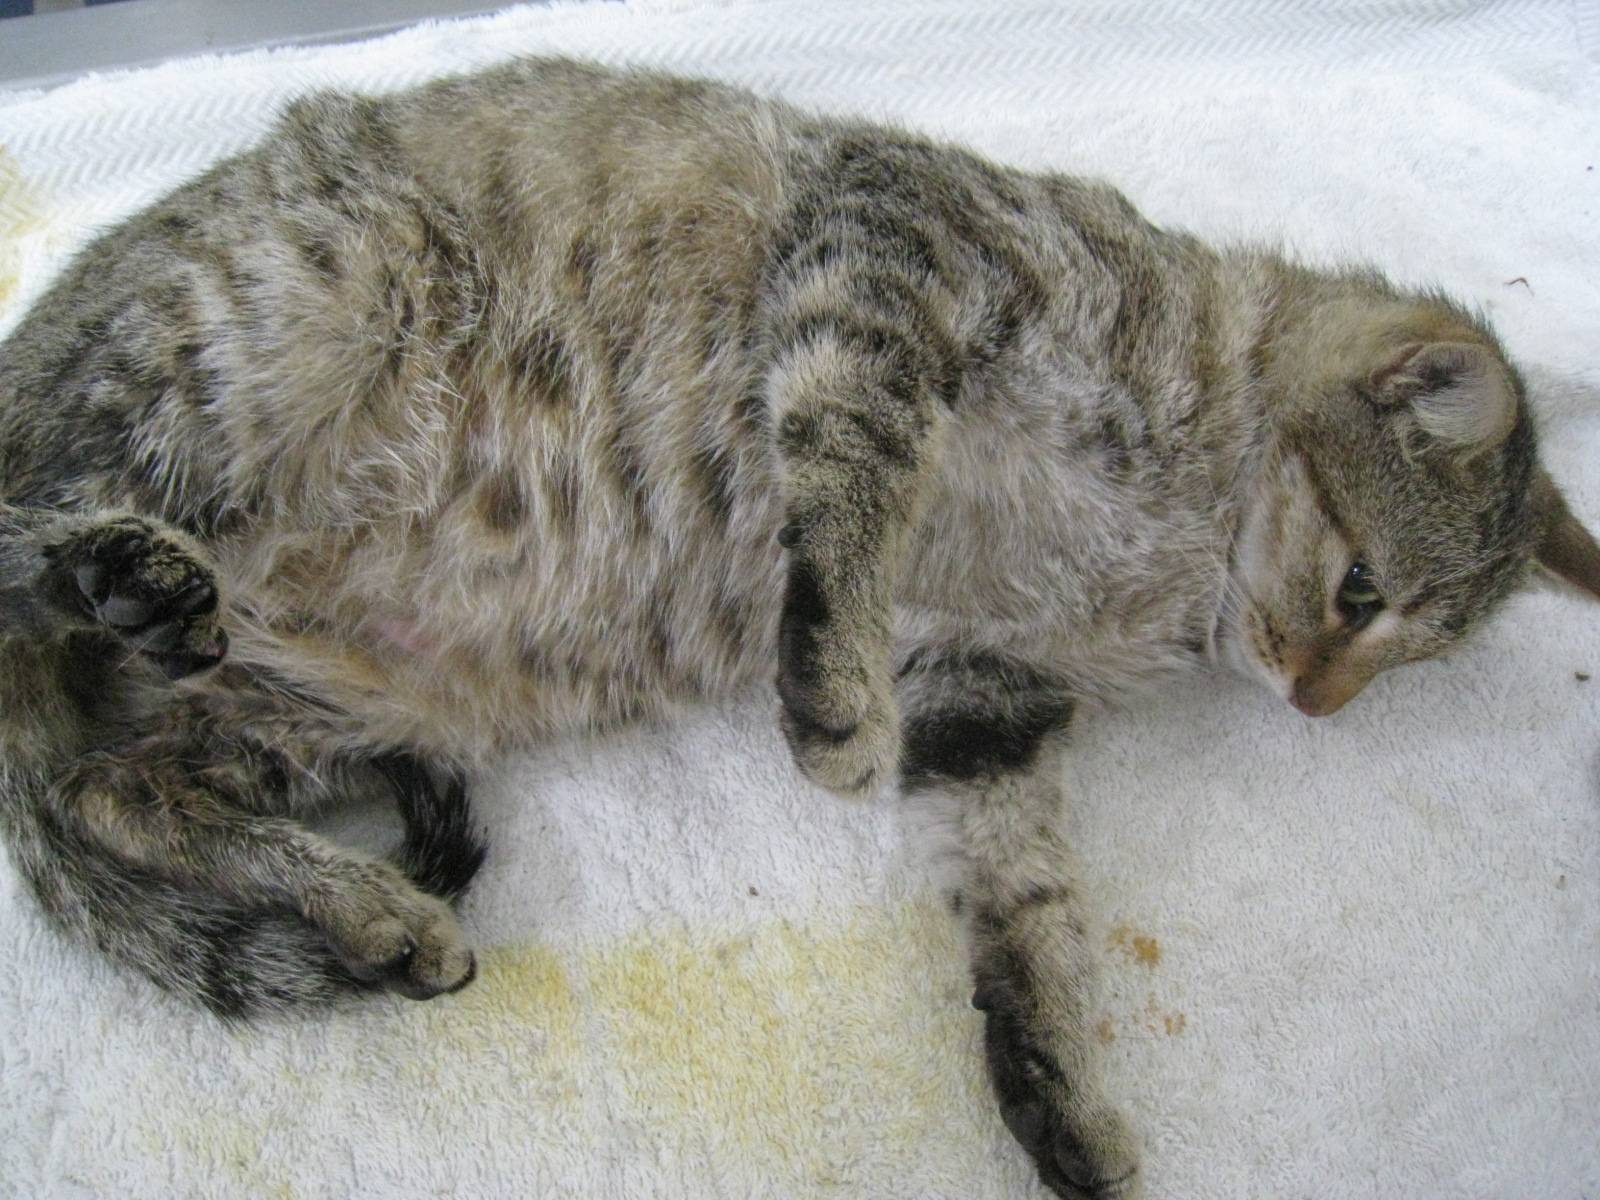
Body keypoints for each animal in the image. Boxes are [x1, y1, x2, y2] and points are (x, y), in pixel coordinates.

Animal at [2, 56, 1597, 1200]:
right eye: (1361, 593)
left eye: (1405, 654)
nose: (1319, 703)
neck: (1171, 556)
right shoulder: (891, 245)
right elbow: (854, 461)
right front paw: (828, 685)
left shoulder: (982, 690)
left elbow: (1025, 899)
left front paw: (1050, 1082)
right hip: (272, 329)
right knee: (17, 536)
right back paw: (124, 573)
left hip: (316, 702)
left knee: (116, 795)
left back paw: (365, 904)